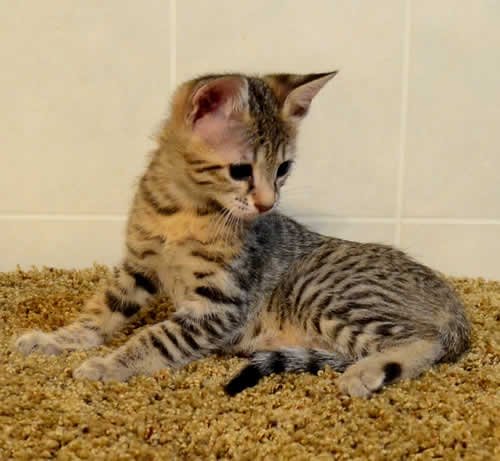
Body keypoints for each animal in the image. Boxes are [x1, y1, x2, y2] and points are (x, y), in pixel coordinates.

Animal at [15, 72, 470, 397]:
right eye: (240, 171)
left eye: (283, 168)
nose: (268, 204)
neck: (182, 211)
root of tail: (455, 308)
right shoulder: (138, 266)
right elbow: (100, 311)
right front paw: (56, 340)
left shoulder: (220, 302)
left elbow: (157, 337)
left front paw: (109, 364)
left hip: (324, 291)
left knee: (425, 341)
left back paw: (367, 372)